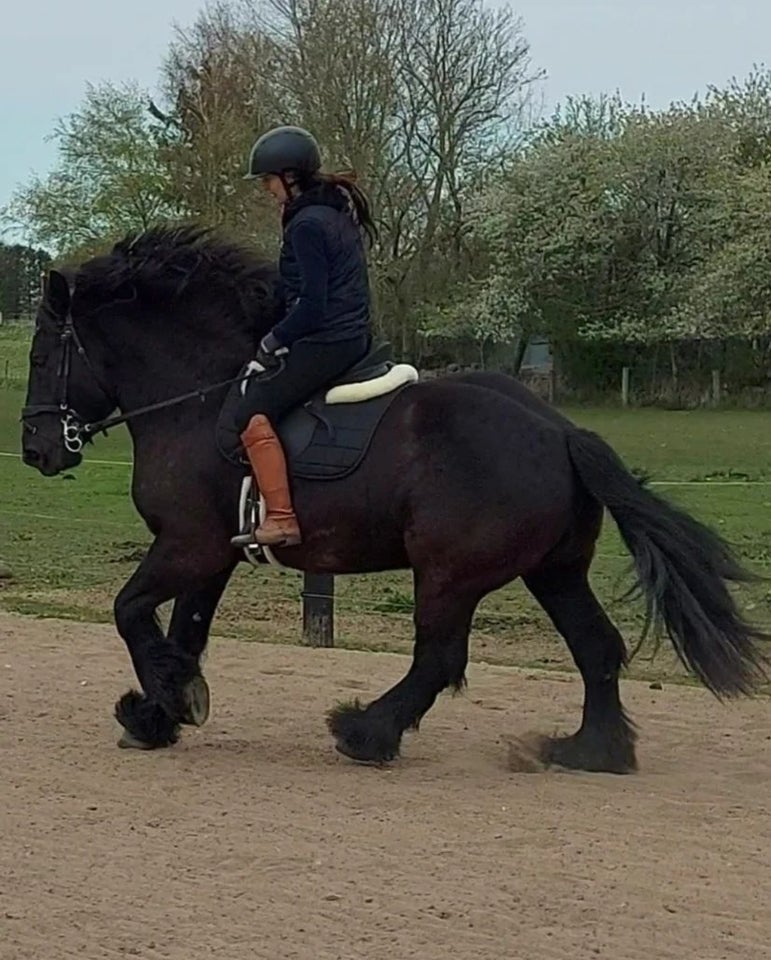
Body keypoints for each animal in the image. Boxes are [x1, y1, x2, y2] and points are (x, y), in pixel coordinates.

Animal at [19, 225, 764, 772]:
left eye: (39, 357)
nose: (35, 450)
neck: (198, 398)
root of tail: (560, 431)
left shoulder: (186, 545)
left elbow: (129, 611)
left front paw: (166, 698)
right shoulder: (213, 553)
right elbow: (184, 630)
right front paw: (163, 708)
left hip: (449, 573)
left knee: (438, 659)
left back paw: (366, 731)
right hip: (552, 571)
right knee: (596, 648)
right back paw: (590, 750)